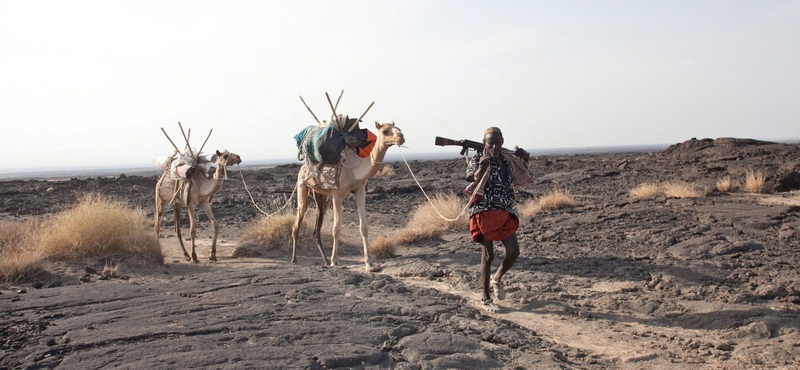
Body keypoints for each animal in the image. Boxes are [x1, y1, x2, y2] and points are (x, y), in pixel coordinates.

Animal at [292, 121, 406, 272]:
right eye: (385, 131)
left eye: (398, 128)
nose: (401, 137)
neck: (355, 168)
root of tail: (303, 167)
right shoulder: (337, 195)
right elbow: (336, 228)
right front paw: (335, 261)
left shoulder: (360, 191)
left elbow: (364, 227)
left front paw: (369, 264)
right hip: (302, 185)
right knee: (299, 215)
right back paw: (295, 259)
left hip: (321, 195)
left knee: (317, 223)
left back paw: (324, 260)